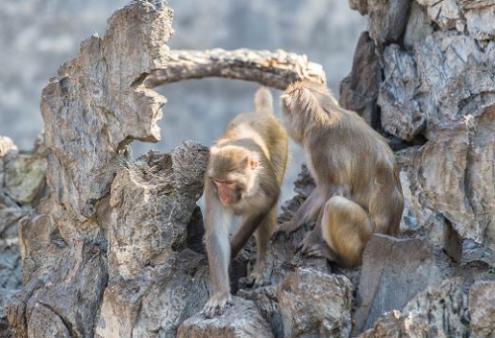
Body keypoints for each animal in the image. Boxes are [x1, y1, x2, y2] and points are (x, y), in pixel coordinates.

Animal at [201, 86, 288, 316]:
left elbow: (265, 208)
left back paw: (260, 266)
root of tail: (261, 114)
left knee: (268, 216)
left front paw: (234, 248)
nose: (223, 196)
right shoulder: (210, 188)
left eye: (229, 183)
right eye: (218, 182)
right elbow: (216, 234)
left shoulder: (266, 186)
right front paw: (220, 294)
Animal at [278, 80, 404, 268]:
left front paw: (312, 239)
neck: (323, 111)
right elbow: (323, 190)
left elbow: (335, 190)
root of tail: (390, 234)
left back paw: (341, 258)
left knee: (335, 205)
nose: (284, 123)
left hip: (366, 237)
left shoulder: (320, 146)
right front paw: (291, 224)